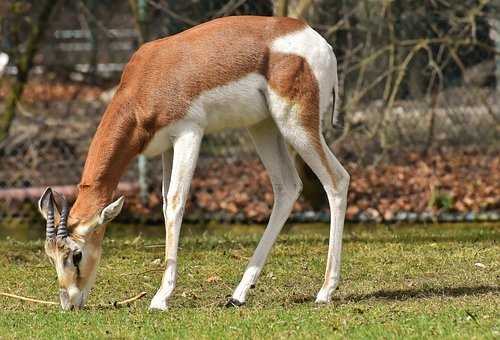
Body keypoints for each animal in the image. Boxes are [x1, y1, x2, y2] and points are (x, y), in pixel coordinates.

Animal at [38, 15, 348, 310]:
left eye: (76, 254)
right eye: (50, 255)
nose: (69, 303)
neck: (148, 79)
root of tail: (321, 43)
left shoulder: (189, 134)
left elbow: (176, 204)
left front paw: (161, 298)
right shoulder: (166, 147)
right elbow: (164, 205)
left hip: (295, 124)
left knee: (337, 180)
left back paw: (325, 291)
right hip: (263, 126)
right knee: (287, 187)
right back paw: (238, 295)